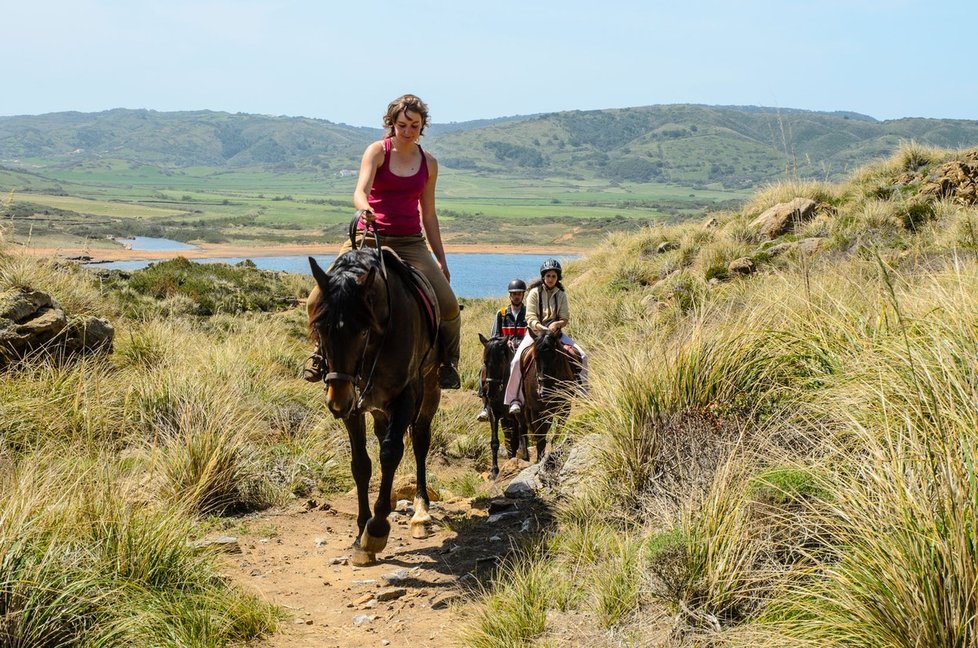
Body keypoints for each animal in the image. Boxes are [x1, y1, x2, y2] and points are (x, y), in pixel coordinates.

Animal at [308, 249, 438, 568]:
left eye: (364, 330)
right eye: (320, 327)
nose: (336, 401)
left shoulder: (406, 396)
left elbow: (391, 453)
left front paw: (376, 530)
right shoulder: (354, 407)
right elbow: (361, 465)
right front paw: (360, 535)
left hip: (430, 388)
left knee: (420, 441)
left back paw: (421, 513)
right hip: (375, 405)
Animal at [478, 334, 528, 480]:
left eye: (500, 362)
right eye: (485, 362)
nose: (490, 392)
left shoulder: (516, 414)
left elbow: (518, 439)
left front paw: (517, 461)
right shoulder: (493, 412)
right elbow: (495, 442)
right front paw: (494, 471)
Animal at [516, 332, 576, 464]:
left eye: (555, 357)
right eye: (535, 358)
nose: (544, 391)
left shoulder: (565, 408)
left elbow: (556, 435)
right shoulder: (536, 411)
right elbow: (540, 440)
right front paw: (539, 460)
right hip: (522, 410)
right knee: (522, 429)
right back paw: (525, 456)